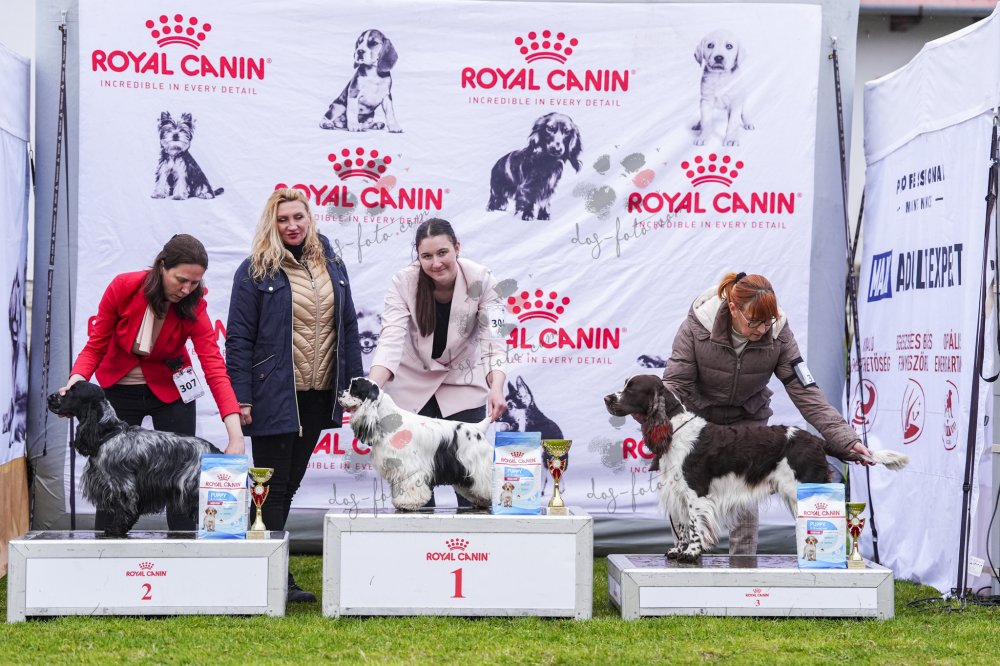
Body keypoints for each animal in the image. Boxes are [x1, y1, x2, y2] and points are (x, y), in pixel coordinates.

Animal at [47, 381, 222, 537]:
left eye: (73, 390)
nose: (50, 397)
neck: (107, 433)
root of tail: (214, 450)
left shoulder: (122, 483)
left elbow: (124, 508)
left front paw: (115, 529)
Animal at [338, 377, 493, 510]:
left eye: (354, 387)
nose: (339, 392)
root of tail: (477, 428)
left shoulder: (409, 466)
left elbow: (410, 485)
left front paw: (408, 503)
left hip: (478, 467)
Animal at [603, 375, 909, 562]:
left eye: (632, 388)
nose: (607, 398)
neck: (674, 429)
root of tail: (817, 440)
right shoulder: (677, 491)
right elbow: (681, 526)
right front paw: (677, 551)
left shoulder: (695, 493)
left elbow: (693, 526)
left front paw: (690, 554)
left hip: (807, 489)